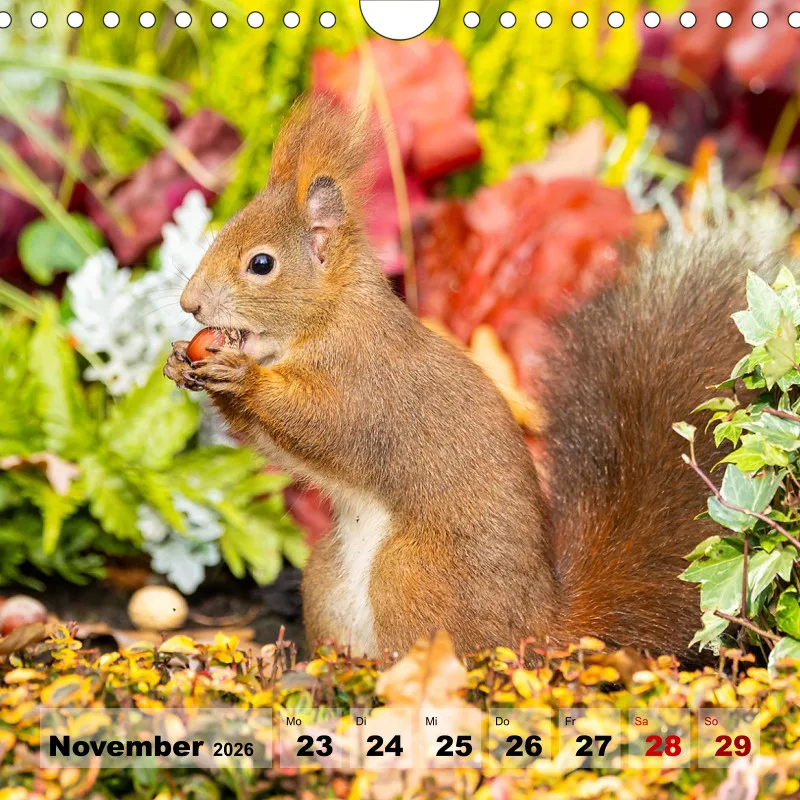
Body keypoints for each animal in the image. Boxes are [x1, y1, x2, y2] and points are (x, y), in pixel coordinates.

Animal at [164, 95, 781, 661]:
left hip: (410, 576)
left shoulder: (368, 383)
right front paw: (180, 363)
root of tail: (540, 630)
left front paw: (241, 378)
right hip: (328, 577)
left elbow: (326, 425)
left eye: (261, 264)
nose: (189, 304)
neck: (329, 320)